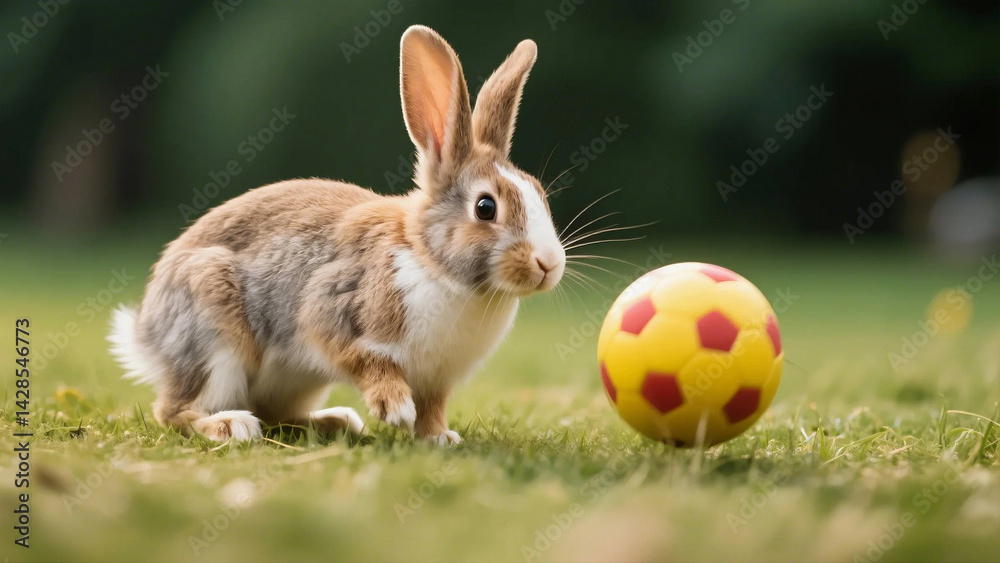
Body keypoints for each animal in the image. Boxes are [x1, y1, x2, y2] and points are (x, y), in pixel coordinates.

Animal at [108, 25, 565, 445]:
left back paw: (337, 421)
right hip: (215, 342)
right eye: (486, 208)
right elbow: (362, 357)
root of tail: (146, 334)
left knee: (275, 414)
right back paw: (230, 425)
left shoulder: (437, 380)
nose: (548, 264)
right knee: (175, 411)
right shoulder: (331, 308)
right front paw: (394, 407)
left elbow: (432, 409)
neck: (431, 262)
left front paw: (439, 438)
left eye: (540, 195)